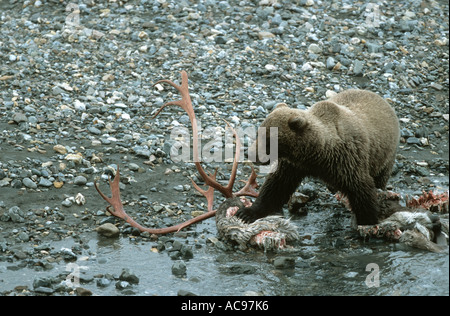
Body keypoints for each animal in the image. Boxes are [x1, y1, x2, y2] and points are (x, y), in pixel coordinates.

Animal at [237, 89, 400, 226]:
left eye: (269, 140)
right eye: (258, 133)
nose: (250, 154)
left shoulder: (347, 160)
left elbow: (361, 189)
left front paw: (368, 221)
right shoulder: (293, 165)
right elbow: (276, 185)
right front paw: (246, 213)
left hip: (385, 156)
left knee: (380, 177)